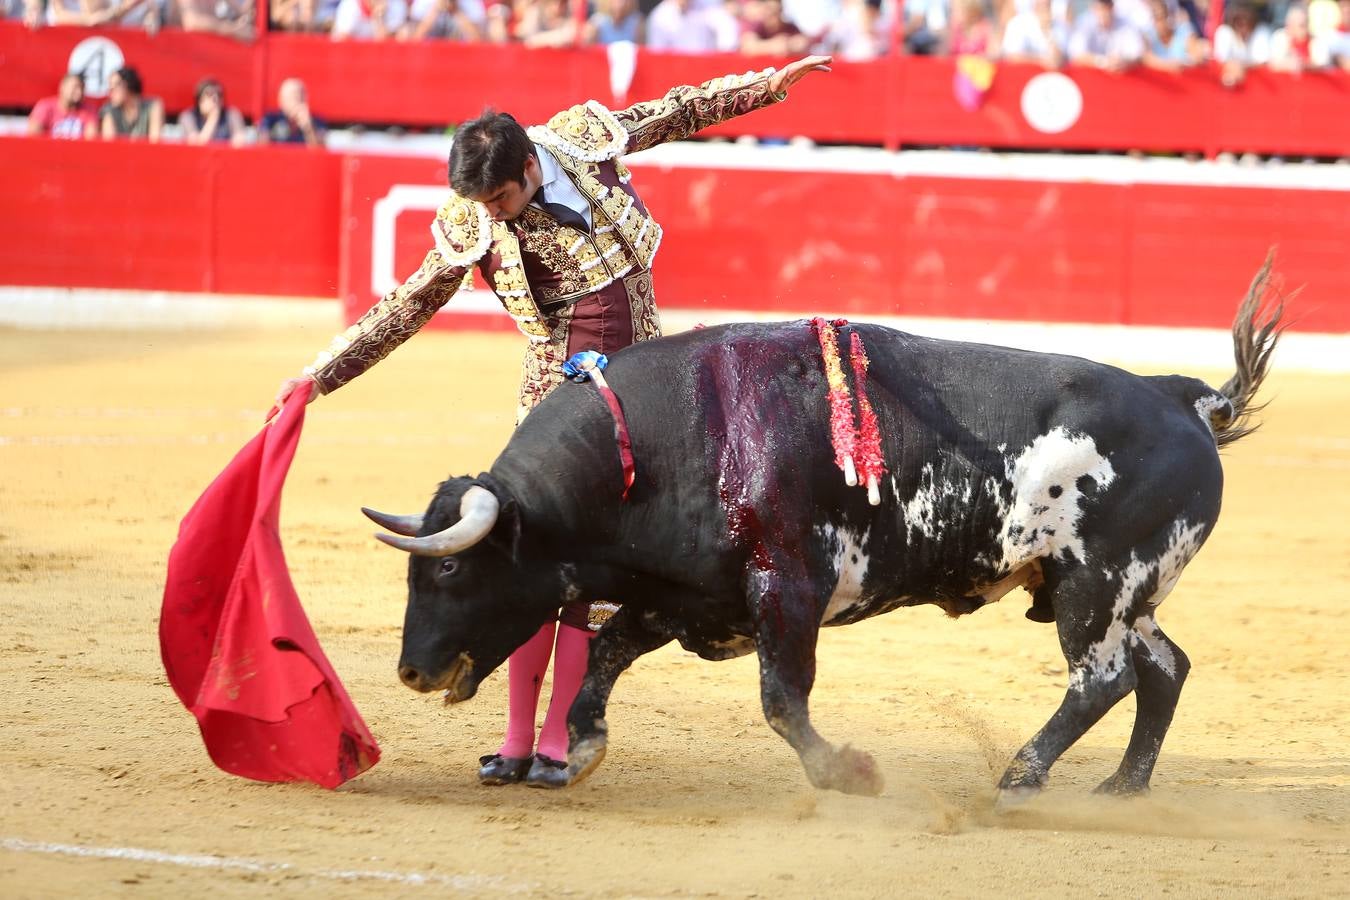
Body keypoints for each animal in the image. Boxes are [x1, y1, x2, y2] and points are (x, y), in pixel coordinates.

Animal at [369, 261, 1285, 804]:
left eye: (449, 573)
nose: (411, 671)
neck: (670, 441)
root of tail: (1186, 398)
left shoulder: (787, 590)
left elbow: (782, 699)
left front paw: (850, 772)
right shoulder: (687, 596)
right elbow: (604, 655)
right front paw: (582, 747)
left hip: (1095, 587)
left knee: (1103, 680)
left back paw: (1020, 778)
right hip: (1127, 595)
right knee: (1164, 668)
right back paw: (1121, 790)